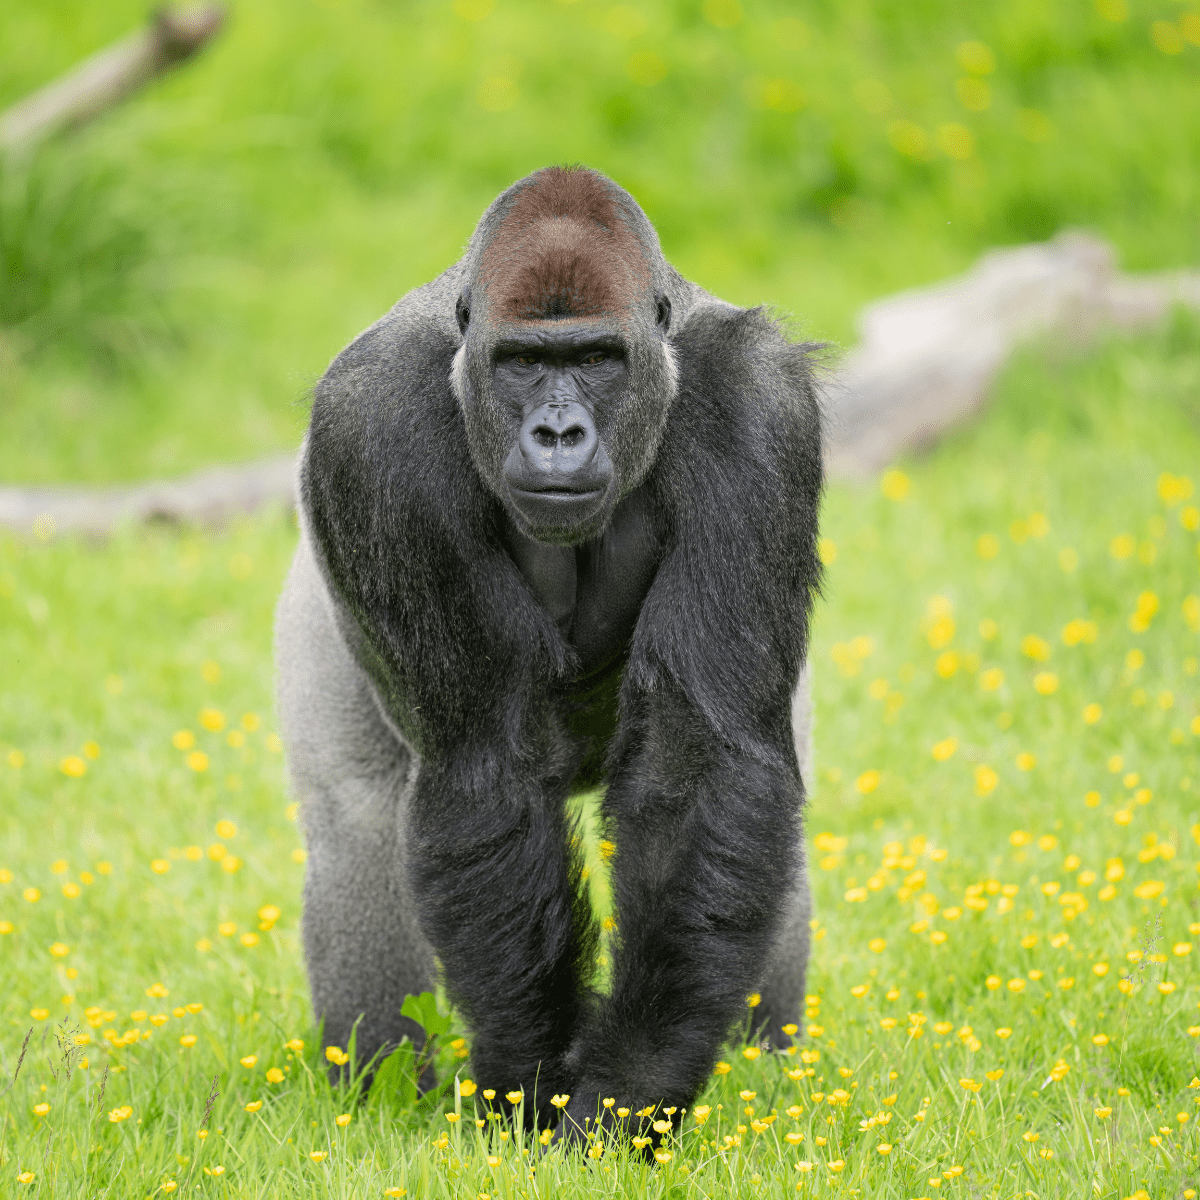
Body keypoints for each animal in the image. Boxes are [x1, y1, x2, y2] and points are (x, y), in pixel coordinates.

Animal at [275, 165, 822, 1145]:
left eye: (597, 359)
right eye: (524, 362)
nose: (558, 435)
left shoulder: (760, 407)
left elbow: (703, 769)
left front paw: (626, 1091)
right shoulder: (370, 423)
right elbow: (487, 760)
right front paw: (532, 1088)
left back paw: (768, 1065)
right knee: (356, 827)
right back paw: (379, 1087)